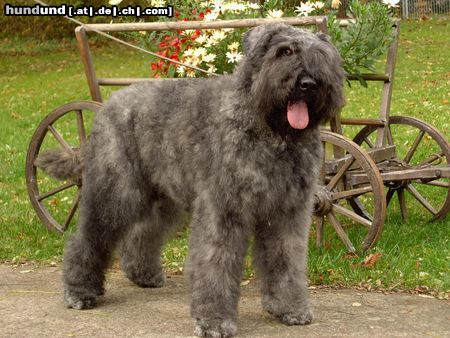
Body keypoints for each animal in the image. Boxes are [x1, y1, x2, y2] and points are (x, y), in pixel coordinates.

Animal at [36, 23, 344, 338]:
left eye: (321, 55)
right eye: (285, 51)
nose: (308, 83)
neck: (269, 131)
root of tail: (106, 106)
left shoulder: (287, 214)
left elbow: (287, 261)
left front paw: (289, 308)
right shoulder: (223, 212)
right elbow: (215, 263)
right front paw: (214, 320)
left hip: (162, 199)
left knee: (143, 233)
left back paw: (143, 274)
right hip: (116, 192)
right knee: (88, 238)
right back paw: (80, 291)